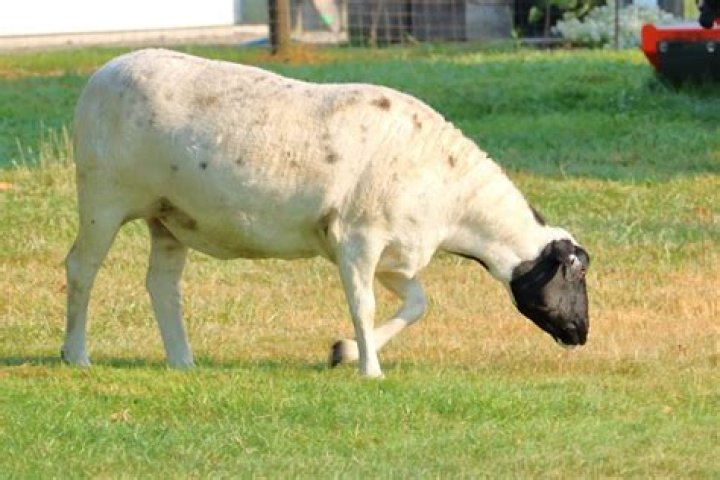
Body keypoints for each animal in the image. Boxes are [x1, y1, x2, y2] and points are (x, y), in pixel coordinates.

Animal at [63, 49, 590, 377]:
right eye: (575, 274)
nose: (581, 333)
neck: (456, 203)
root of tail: (102, 72)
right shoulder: (357, 238)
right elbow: (363, 305)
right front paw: (369, 370)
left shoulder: (395, 254)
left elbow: (416, 304)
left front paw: (345, 352)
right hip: (103, 195)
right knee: (81, 269)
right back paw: (76, 354)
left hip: (169, 213)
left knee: (163, 285)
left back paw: (181, 361)